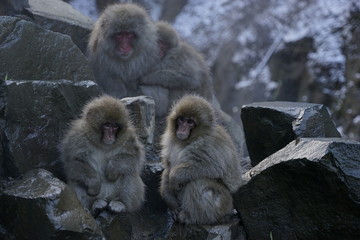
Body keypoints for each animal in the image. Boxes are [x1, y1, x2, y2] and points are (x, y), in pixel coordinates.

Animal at [160, 94, 242, 225]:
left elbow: (214, 167)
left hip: (223, 203)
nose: (182, 129)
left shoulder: (207, 144)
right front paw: (170, 201)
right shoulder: (169, 140)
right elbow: (167, 168)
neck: (187, 141)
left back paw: (193, 217)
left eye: (190, 122)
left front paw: (175, 176)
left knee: (198, 182)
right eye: (181, 119)